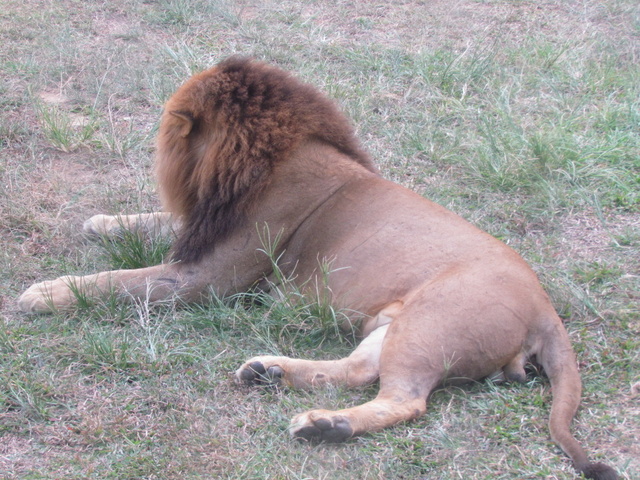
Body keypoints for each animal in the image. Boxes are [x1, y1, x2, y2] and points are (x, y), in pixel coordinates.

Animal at [20, 57, 616, 480]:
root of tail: (546, 310)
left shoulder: (204, 279)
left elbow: (120, 283)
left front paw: (44, 294)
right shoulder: (202, 230)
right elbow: (152, 224)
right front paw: (101, 222)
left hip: (430, 324)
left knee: (406, 401)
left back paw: (325, 426)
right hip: (395, 324)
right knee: (355, 371)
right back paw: (271, 373)